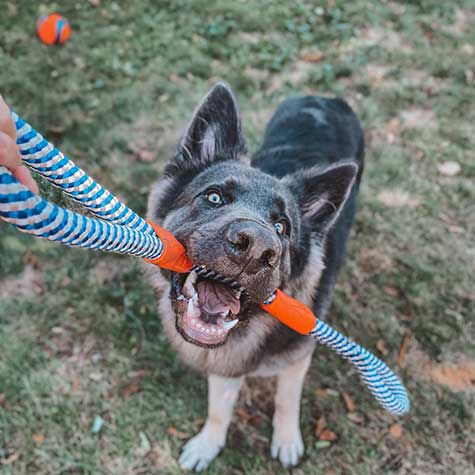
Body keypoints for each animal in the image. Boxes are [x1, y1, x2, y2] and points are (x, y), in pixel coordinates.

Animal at [147, 83, 366, 470]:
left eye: (282, 228)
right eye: (214, 197)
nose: (255, 249)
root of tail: (327, 98)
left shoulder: (296, 360)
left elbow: (286, 401)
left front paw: (287, 440)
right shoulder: (225, 364)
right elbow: (219, 409)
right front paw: (208, 444)